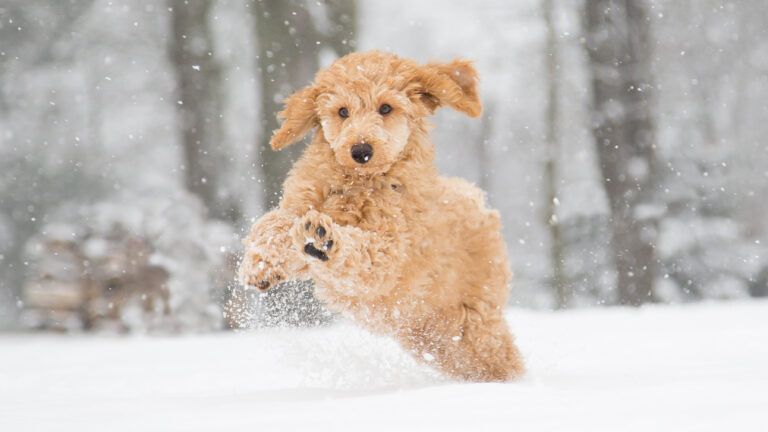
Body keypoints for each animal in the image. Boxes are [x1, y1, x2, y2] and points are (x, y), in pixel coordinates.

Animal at [240, 51, 524, 382]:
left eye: (386, 107)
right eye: (342, 111)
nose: (361, 150)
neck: (359, 184)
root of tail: (478, 201)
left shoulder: (390, 253)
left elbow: (363, 252)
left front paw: (325, 240)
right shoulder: (301, 206)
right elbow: (272, 223)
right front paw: (259, 265)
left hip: (474, 322)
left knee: (500, 357)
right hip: (428, 334)